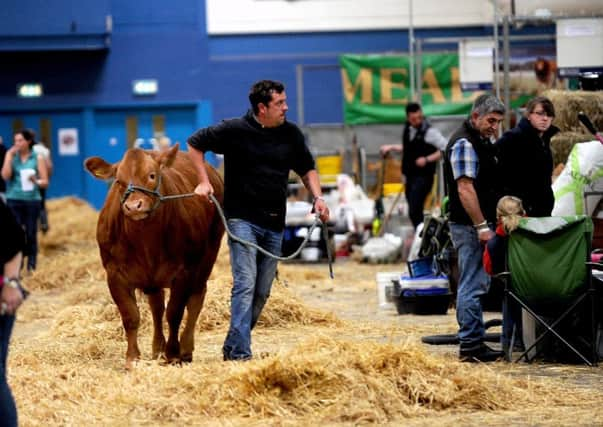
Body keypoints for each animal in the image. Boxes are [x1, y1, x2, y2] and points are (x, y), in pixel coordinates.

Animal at [84, 145, 224, 372]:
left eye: (151, 175)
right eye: (118, 181)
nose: (134, 206)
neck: (145, 241)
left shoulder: (183, 272)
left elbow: (175, 313)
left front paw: (173, 354)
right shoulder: (114, 274)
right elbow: (131, 316)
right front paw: (133, 358)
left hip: (207, 256)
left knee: (196, 298)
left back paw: (185, 348)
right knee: (157, 306)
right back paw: (158, 348)